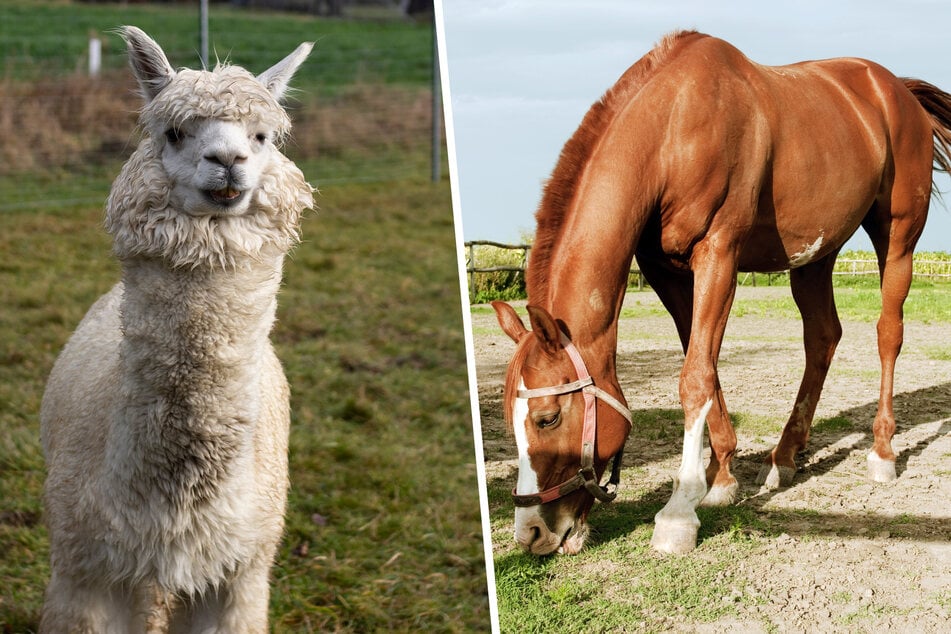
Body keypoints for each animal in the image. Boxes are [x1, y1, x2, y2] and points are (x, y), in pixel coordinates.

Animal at [492, 30, 951, 555]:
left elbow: (695, 377)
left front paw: (678, 513)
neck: (673, 129)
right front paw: (722, 477)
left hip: (897, 238)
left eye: (547, 418)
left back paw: (882, 452)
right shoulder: (666, 272)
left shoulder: (719, 254)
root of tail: (894, 89)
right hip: (816, 255)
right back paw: (784, 457)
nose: (532, 533)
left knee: (888, 333)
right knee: (822, 338)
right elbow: (705, 368)